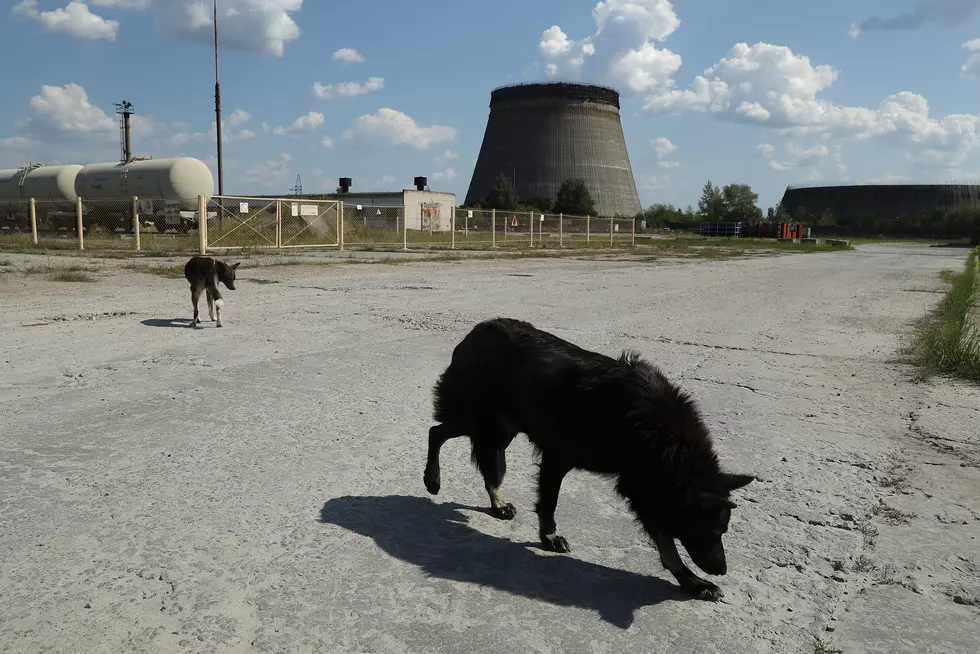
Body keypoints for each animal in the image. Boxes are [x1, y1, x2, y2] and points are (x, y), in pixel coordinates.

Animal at [424, 316, 756, 604]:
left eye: (723, 531)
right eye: (711, 531)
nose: (722, 570)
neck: (659, 434)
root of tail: (479, 329)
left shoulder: (643, 485)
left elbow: (666, 544)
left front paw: (692, 582)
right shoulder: (559, 457)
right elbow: (549, 503)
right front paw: (549, 536)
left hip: (501, 427)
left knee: (482, 461)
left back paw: (497, 502)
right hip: (482, 419)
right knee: (436, 432)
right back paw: (432, 479)